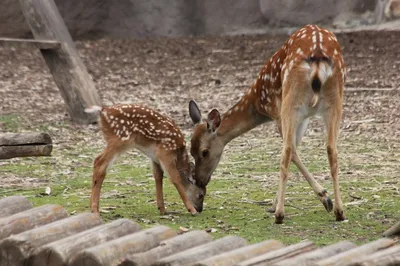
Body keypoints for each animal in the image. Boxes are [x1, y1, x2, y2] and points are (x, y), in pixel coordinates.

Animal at [189, 23, 346, 223]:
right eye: (190, 150)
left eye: (204, 152)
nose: (199, 180)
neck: (258, 103)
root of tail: (318, 59)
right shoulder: (305, 118)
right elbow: (297, 151)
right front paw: (325, 198)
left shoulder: (277, 113)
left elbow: (293, 152)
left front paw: (323, 198)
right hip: (335, 101)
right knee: (331, 149)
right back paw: (340, 212)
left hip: (290, 102)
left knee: (286, 151)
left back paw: (280, 214)